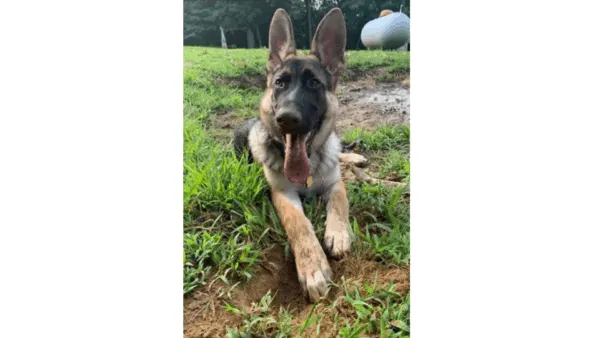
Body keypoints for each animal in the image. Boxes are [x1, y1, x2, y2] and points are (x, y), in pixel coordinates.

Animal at [232, 7, 350, 302]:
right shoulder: (282, 193)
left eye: (314, 83)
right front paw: (313, 266)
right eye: (280, 83)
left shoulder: (335, 183)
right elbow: (299, 223)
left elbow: (340, 202)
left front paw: (339, 233)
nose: (286, 118)